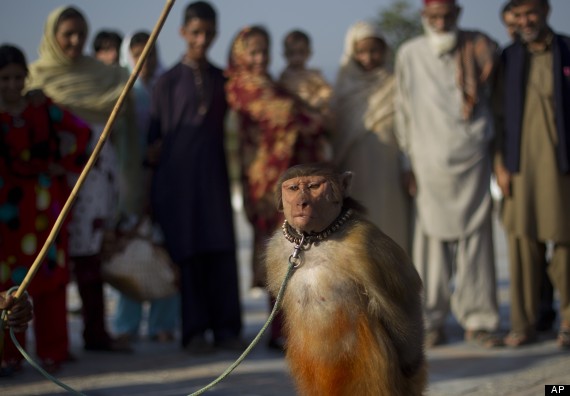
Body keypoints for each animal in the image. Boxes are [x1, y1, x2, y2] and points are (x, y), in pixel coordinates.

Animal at [264, 162, 424, 394]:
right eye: (293, 188)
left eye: (313, 186)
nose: (301, 202)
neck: (312, 240)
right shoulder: (275, 248)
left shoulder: (366, 244)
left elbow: (406, 301)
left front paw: (411, 366)